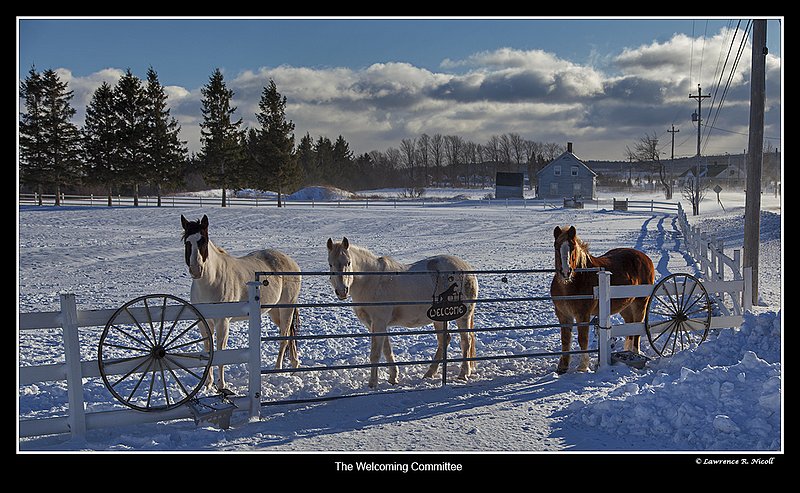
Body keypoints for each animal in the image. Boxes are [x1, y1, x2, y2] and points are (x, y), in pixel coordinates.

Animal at [181, 214, 302, 391]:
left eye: (203, 241)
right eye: (187, 242)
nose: (196, 270)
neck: (211, 282)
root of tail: (292, 263)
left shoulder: (223, 322)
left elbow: (220, 350)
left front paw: (221, 384)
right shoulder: (204, 322)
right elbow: (208, 349)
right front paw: (208, 384)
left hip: (286, 308)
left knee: (284, 336)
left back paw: (278, 368)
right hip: (274, 312)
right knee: (291, 334)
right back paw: (295, 365)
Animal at [326, 237, 478, 388]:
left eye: (348, 262)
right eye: (330, 264)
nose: (342, 291)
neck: (372, 281)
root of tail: (468, 269)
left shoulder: (379, 323)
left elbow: (375, 353)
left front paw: (372, 383)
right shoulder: (374, 325)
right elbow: (387, 350)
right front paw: (393, 378)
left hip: (463, 317)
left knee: (466, 341)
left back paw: (463, 374)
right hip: (440, 318)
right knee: (444, 340)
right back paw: (430, 373)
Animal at [550, 225, 654, 374]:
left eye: (572, 247)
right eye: (556, 247)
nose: (566, 272)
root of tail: (646, 258)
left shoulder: (583, 315)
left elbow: (582, 339)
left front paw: (583, 367)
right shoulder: (563, 314)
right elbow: (565, 339)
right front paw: (562, 367)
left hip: (640, 303)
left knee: (637, 329)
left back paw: (635, 352)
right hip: (626, 306)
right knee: (629, 325)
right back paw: (627, 351)